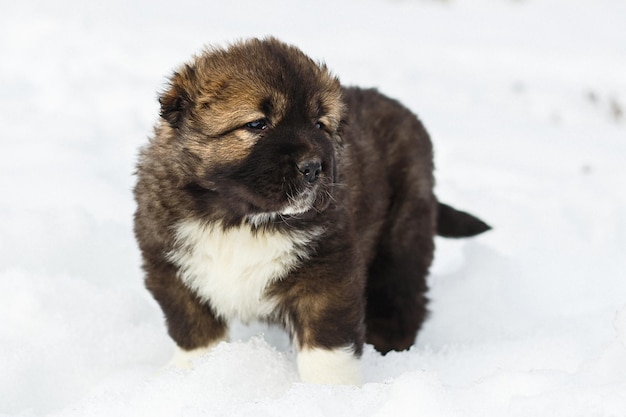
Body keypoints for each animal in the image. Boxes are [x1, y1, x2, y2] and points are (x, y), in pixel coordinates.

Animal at [134, 37, 490, 386]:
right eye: (257, 124)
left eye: (320, 124)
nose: (313, 167)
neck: (242, 220)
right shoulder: (171, 267)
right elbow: (194, 329)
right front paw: (192, 373)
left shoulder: (326, 274)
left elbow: (327, 347)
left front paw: (330, 393)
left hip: (403, 236)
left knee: (401, 298)